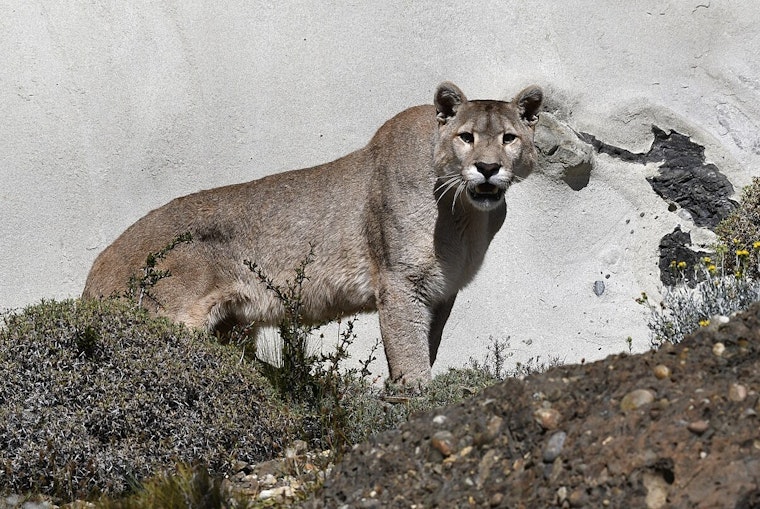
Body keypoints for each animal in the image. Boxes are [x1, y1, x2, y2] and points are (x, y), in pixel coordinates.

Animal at [82, 82, 543, 382]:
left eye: (509, 138)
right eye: (466, 137)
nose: (488, 168)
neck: (465, 215)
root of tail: (96, 269)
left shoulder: (442, 290)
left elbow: (427, 342)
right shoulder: (399, 282)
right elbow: (409, 349)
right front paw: (416, 396)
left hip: (233, 328)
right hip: (173, 318)